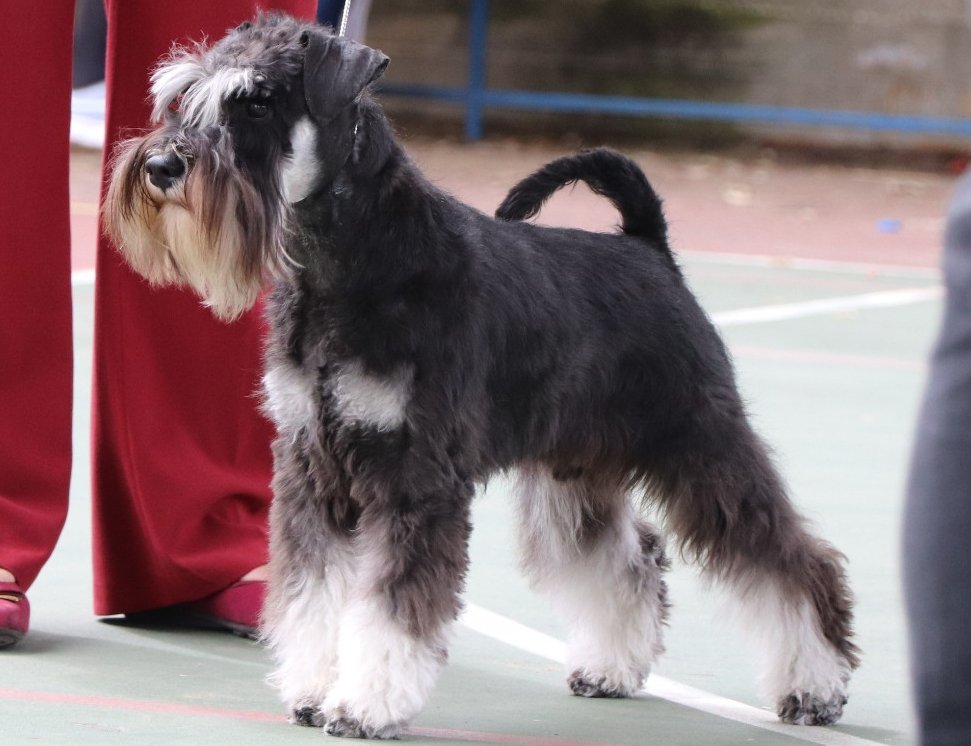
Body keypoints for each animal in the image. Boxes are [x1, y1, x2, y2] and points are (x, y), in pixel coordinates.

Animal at [104, 12, 859, 739]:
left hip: (700, 445)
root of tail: (650, 250)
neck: (344, 263)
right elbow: (313, 594)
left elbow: (390, 606)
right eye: (181, 95)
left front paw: (366, 705)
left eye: (257, 102)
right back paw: (611, 667)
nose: (163, 165)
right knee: (631, 556)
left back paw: (813, 686)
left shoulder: (414, 476)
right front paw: (315, 689)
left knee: (788, 562)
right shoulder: (312, 467)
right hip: (573, 472)